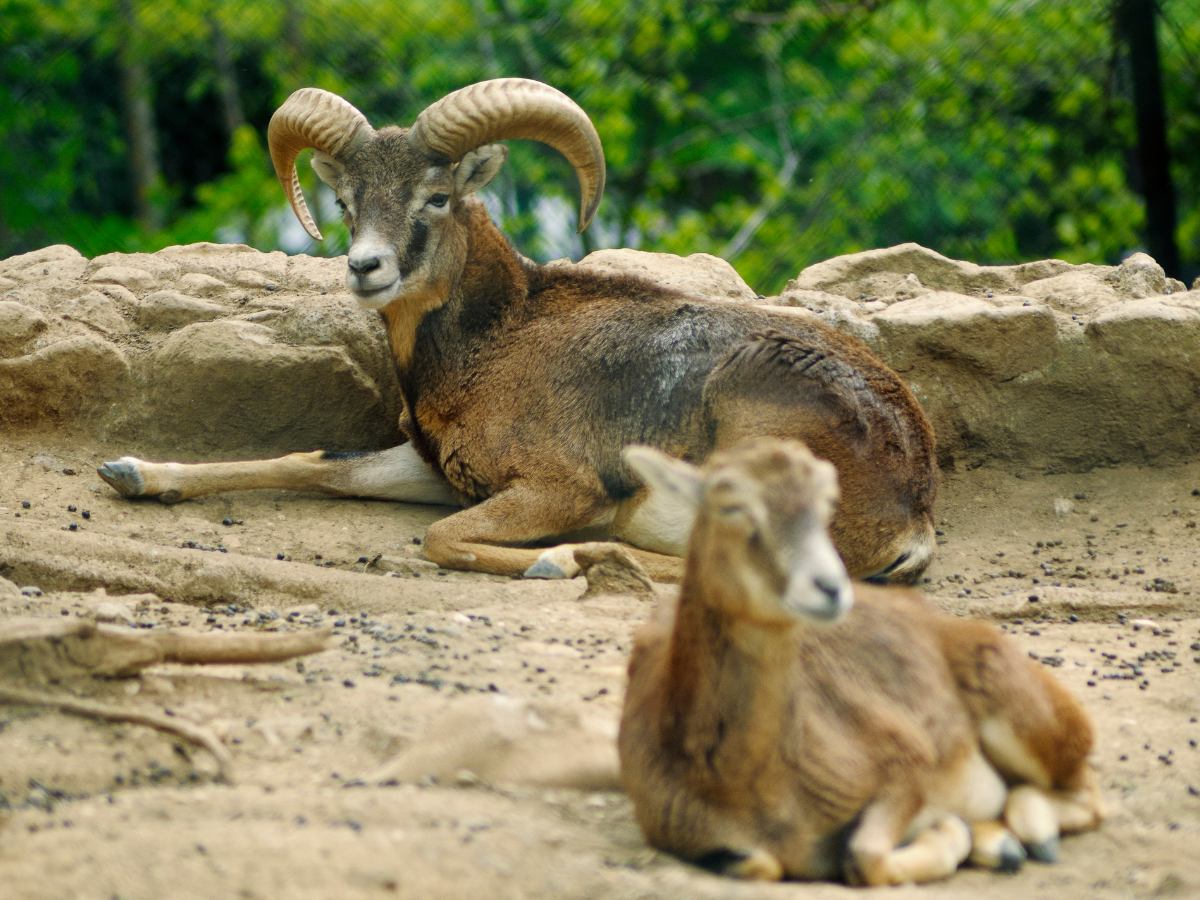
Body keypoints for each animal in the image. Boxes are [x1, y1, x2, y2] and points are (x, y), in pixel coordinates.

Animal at [99, 78, 937, 583]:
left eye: (436, 197)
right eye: (345, 202)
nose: (366, 268)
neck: (498, 341)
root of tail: (913, 510)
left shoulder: (551, 488)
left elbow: (440, 540)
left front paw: (547, 560)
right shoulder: (430, 469)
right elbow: (315, 463)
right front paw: (134, 473)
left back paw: (577, 559)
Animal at [618, 439, 1103, 885]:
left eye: (826, 501)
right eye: (731, 504)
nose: (830, 587)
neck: (743, 783)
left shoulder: (907, 769)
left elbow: (865, 857)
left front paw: (948, 831)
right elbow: (759, 862)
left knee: (1087, 796)